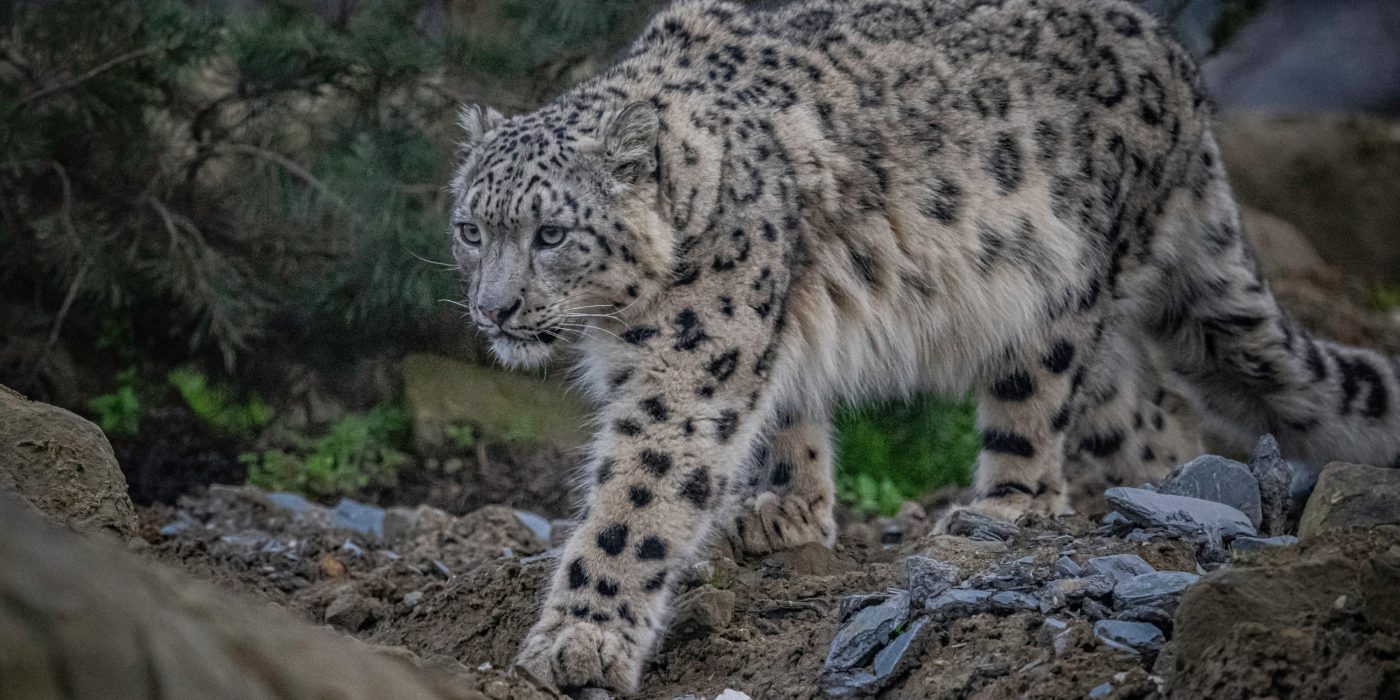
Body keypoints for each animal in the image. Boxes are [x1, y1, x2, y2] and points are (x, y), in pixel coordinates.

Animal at [446, 0, 1400, 691]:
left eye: (552, 233)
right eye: (469, 227)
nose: (494, 310)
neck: (626, 316)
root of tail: (1181, 68)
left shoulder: (690, 366)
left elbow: (637, 499)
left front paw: (579, 642)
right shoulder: (761, 332)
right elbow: (789, 409)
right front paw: (789, 512)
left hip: (1053, 298)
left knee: (1039, 423)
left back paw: (1002, 512)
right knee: (1150, 415)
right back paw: (1166, 491)